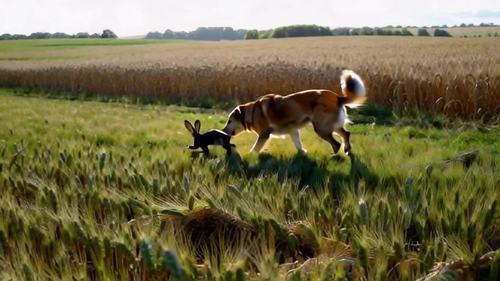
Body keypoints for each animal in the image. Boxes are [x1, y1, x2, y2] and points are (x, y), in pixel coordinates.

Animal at [223, 69, 368, 154]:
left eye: (230, 121)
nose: (223, 131)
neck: (252, 112)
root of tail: (337, 97)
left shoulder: (264, 134)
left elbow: (255, 149)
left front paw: (248, 156)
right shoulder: (293, 130)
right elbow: (298, 145)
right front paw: (303, 153)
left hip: (321, 127)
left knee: (336, 143)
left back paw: (334, 156)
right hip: (332, 125)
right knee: (346, 134)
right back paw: (347, 150)